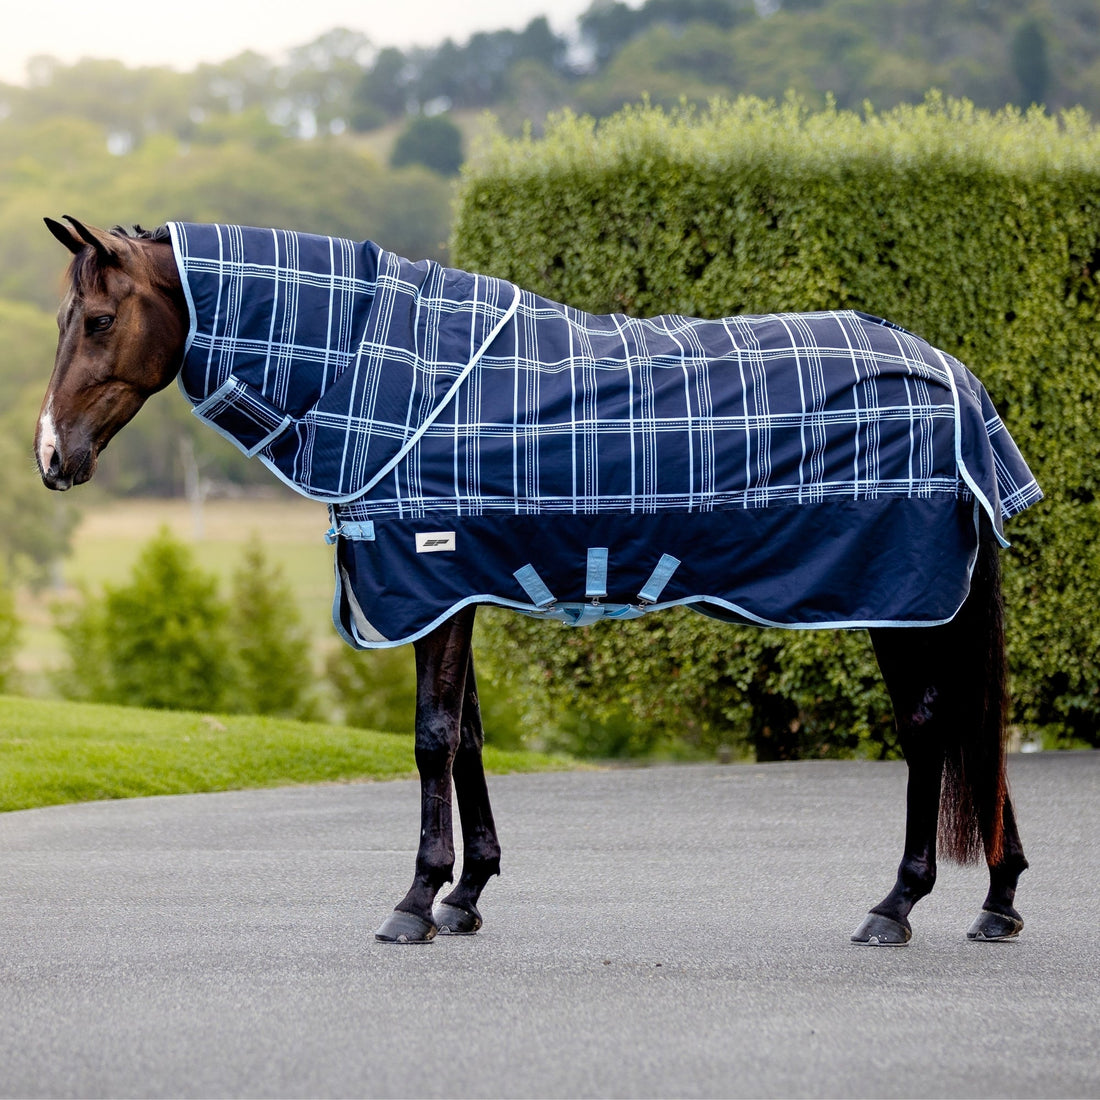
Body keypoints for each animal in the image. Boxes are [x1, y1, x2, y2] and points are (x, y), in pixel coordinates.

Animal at [36, 215, 1037, 947]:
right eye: (60, 322)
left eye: (98, 320)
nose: (52, 456)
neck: (383, 374)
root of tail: (956, 380)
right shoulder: (458, 590)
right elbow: (470, 736)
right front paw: (466, 894)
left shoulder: (430, 582)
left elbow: (433, 738)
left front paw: (414, 901)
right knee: (970, 725)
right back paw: (998, 901)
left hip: (901, 598)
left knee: (930, 728)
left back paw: (896, 906)